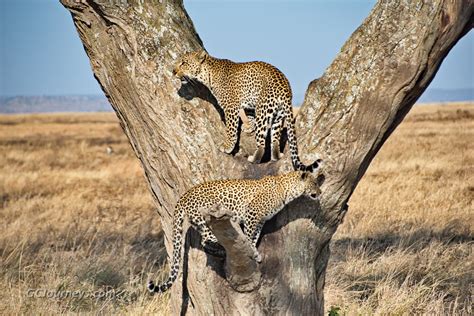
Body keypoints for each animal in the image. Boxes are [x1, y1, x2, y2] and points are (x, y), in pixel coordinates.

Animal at [148, 170, 326, 294]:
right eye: (313, 184)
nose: (320, 193)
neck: (287, 189)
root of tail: (184, 195)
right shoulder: (252, 213)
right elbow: (248, 235)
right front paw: (251, 251)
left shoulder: (260, 220)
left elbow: (253, 236)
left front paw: (254, 253)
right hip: (206, 220)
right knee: (206, 241)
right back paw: (222, 251)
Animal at [172, 49, 320, 172]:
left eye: (184, 63)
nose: (173, 71)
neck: (208, 74)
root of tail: (285, 86)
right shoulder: (248, 104)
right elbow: (249, 115)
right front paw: (248, 127)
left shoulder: (231, 107)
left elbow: (231, 129)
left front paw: (228, 146)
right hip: (278, 116)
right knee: (275, 139)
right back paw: (275, 156)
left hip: (263, 110)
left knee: (261, 143)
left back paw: (254, 159)